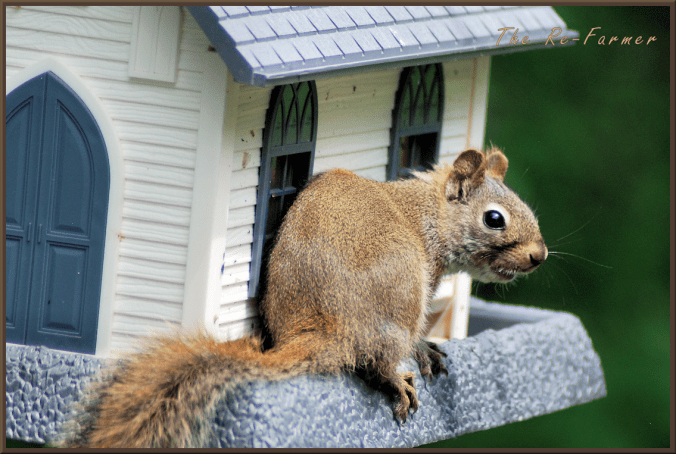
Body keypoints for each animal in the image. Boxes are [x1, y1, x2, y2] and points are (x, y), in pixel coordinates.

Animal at [56, 147, 547, 448]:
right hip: (399, 300)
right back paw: (396, 378)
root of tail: (330, 328)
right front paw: (424, 349)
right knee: (379, 357)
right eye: (494, 219)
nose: (539, 256)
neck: (425, 213)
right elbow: (411, 339)